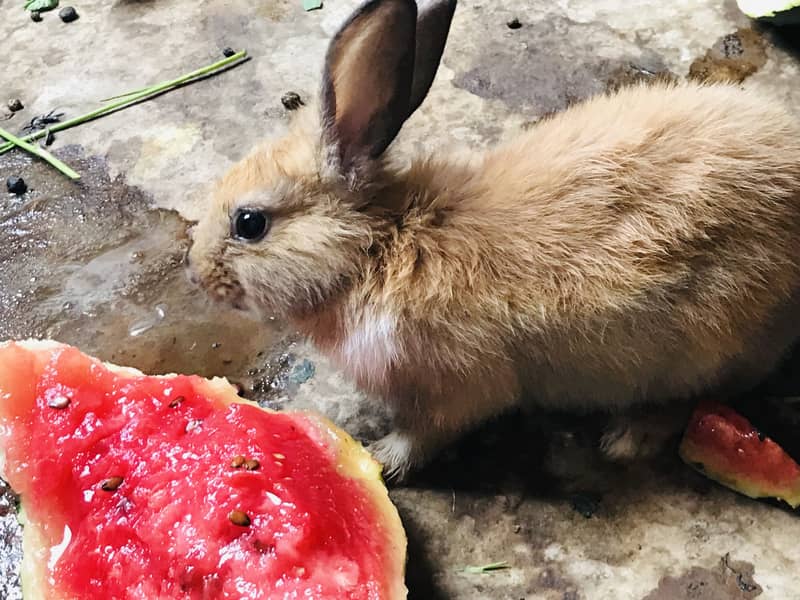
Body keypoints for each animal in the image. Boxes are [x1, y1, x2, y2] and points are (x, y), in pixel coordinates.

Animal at [187, 0, 800, 481]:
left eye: (250, 223)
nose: (197, 273)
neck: (376, 248)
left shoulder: (456, 386)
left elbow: (428, 432)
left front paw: (381, 457)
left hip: (711, 337)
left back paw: (629, 437)